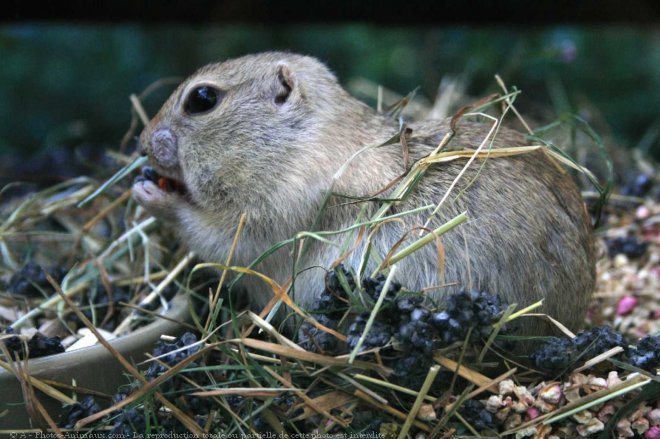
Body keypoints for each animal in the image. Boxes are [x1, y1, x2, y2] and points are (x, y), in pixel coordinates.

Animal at [131, 51, 596, 336]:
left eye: (202, 98)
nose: (142, 142)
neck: (294, 142)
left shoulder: (276, 214)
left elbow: (219, 239)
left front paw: (150, 192)